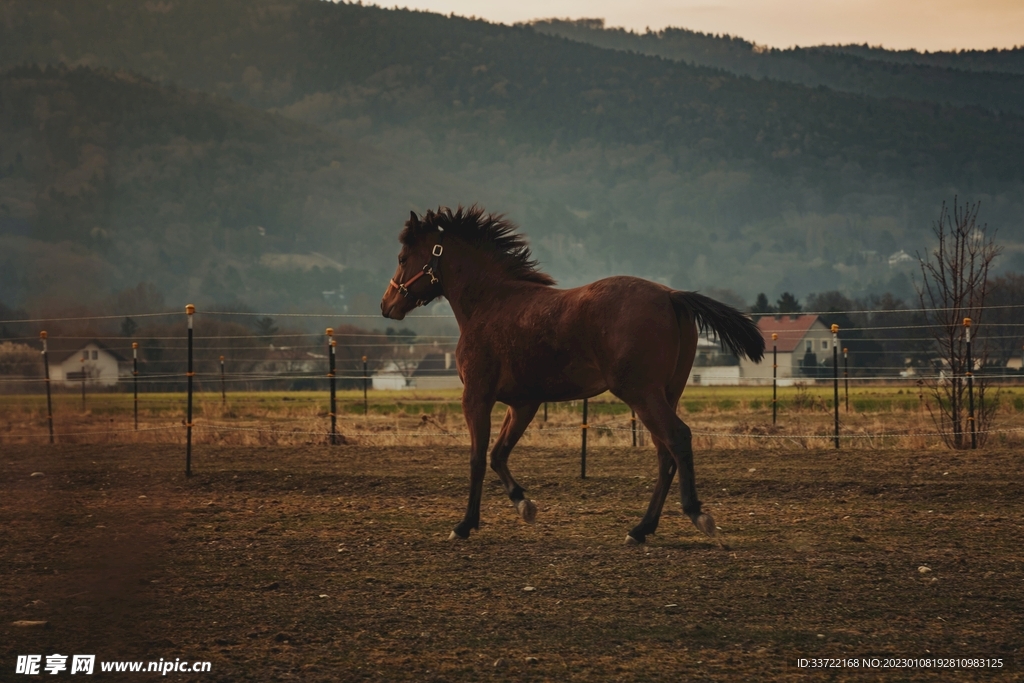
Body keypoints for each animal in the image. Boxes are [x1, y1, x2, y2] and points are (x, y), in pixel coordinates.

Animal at [381, 206, 765, 545]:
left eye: (402, 258)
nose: (386, 305)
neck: (489, 304)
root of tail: (671, 296)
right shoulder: (523, 404)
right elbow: (498, 454)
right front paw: (525, 505)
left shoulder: (476, 396)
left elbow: (477, 458)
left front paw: (464, 525)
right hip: (666, 394)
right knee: (664, 454)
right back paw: (640, 529)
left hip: (642, 394)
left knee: (678, 439)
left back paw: (697, 515)